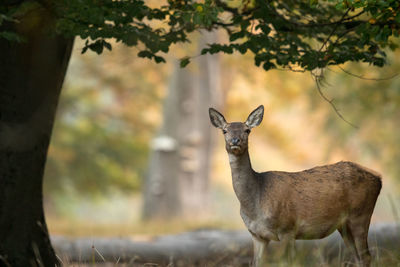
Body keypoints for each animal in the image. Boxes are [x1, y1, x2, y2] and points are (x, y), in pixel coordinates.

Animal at [209, 105, 382, 266]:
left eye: (247, 130)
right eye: (224, 131)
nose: (235, 141)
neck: (255, 203)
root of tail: (379, 179)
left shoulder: (287, 228)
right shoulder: (257, 235)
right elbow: (256, 263)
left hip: (361, 214)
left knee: (366, 256)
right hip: (344, 225)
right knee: (357, 257)